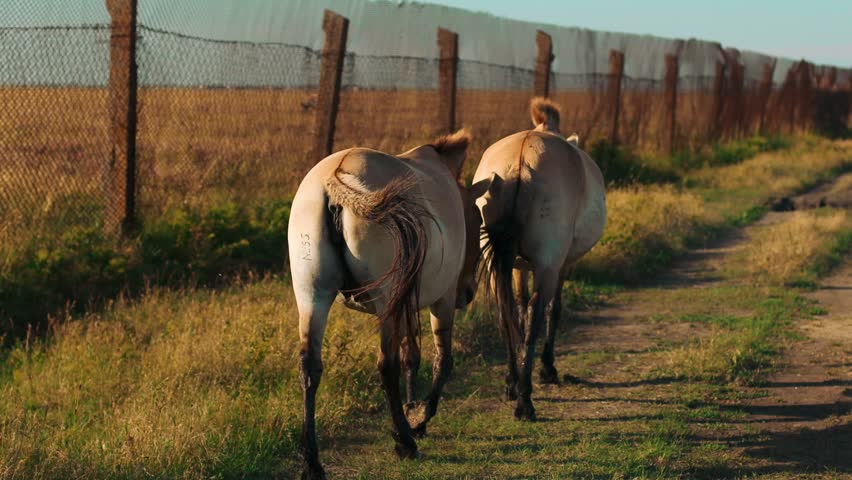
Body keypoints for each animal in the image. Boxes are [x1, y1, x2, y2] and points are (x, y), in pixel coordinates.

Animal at [288, 129, 491, 479]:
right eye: (477, 221)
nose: (467, 294)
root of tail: (334, 178)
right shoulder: (440, 300)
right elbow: (442, 360)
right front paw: (419, 417)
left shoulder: (405, 303)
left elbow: (412, 356)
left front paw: (412, 410)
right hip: (386, 302)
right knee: (386, 365)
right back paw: (404, 442)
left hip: (312, 296)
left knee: (310, 368)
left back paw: (312, 461)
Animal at [473, 98, 606, 421]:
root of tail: (519, 166)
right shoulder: (562, 264)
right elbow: (552, 309)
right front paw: (547, 368)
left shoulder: (518, 266)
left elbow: (518, 309)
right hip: (548, 265)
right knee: (537, 310)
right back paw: (525, 401)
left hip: (499, 265)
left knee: (506, 310)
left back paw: (512, 383)